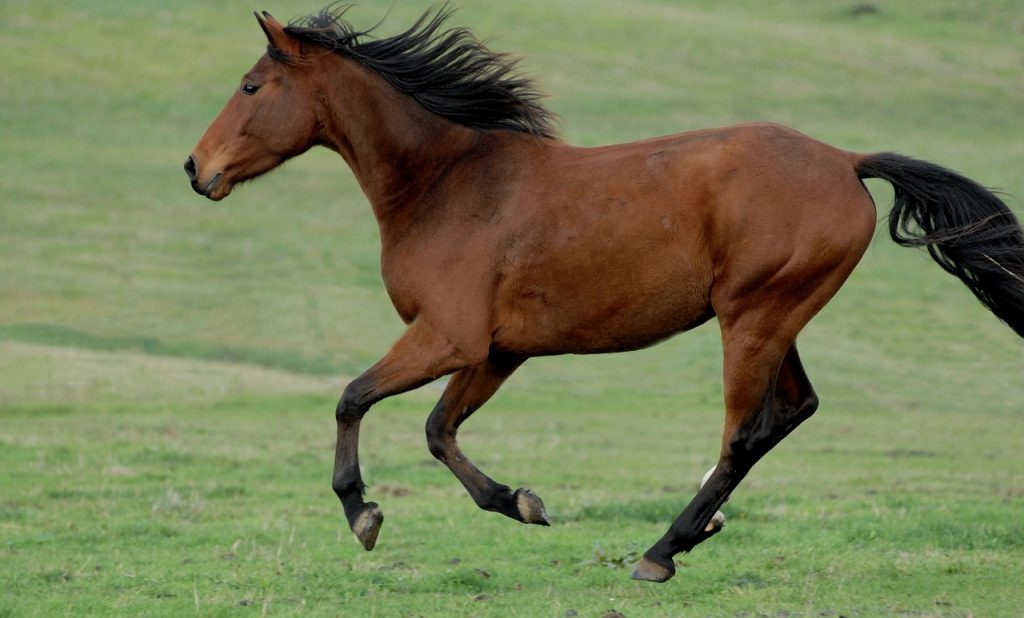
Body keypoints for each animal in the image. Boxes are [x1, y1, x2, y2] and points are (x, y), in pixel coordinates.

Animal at [184, 6, 1024, 585]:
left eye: (251, 85)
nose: (196, 168)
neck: (446, 183)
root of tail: (847, 161)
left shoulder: (447, 336)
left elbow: (353, 398)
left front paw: (362, 512)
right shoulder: (497, 352)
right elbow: (437, 430)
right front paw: (521, 502)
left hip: (754, 319)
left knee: (742, 433)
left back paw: (664, 549)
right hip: (775, 319)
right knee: (790, 411)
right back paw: (695, 532)